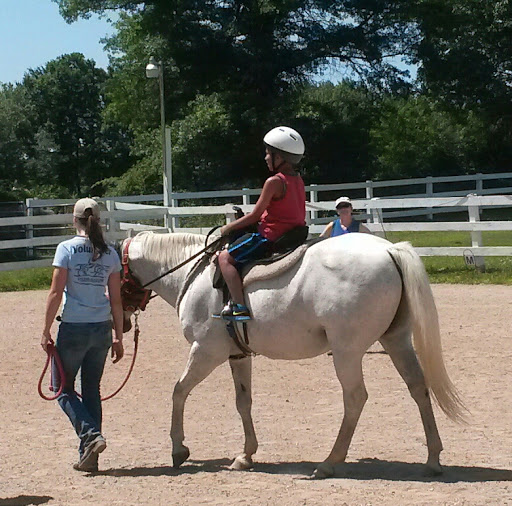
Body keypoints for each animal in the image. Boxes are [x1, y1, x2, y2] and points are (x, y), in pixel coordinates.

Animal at [122, 232, 466, 478]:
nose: (123, 323)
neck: (191, 275)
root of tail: (388, 250)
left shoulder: (206, 351)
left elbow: (179, 391)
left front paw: (178, 448)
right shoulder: (238, 356)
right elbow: (243, 401)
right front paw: (245, 455)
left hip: (347, 351)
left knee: (355, 398)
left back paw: (329, 462)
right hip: (396, 340)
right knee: (418, 387)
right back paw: (433, 458)